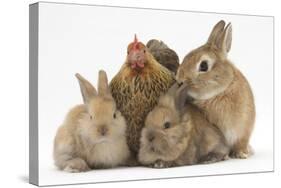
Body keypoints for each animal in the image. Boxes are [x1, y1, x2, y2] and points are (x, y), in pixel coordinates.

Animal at [176, 20, 255, 159]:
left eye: (203, 66)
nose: (179, 80)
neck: (219, 92)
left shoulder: (243, 131)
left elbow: (240, 142)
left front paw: (241, 154)